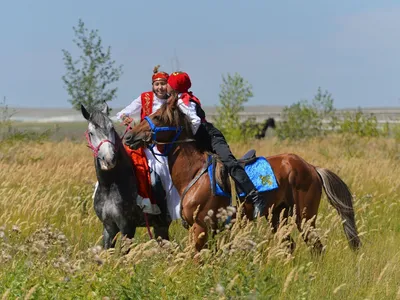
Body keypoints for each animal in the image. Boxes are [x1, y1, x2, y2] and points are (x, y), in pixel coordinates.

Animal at [123, 99, 360, 253]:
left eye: (157, 116)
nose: (129, 137)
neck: (194, 174)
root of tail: (311, 166)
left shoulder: (200, 228)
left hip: (304, 216)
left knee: (316, 246)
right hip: (278, 216)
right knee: (289, 245)